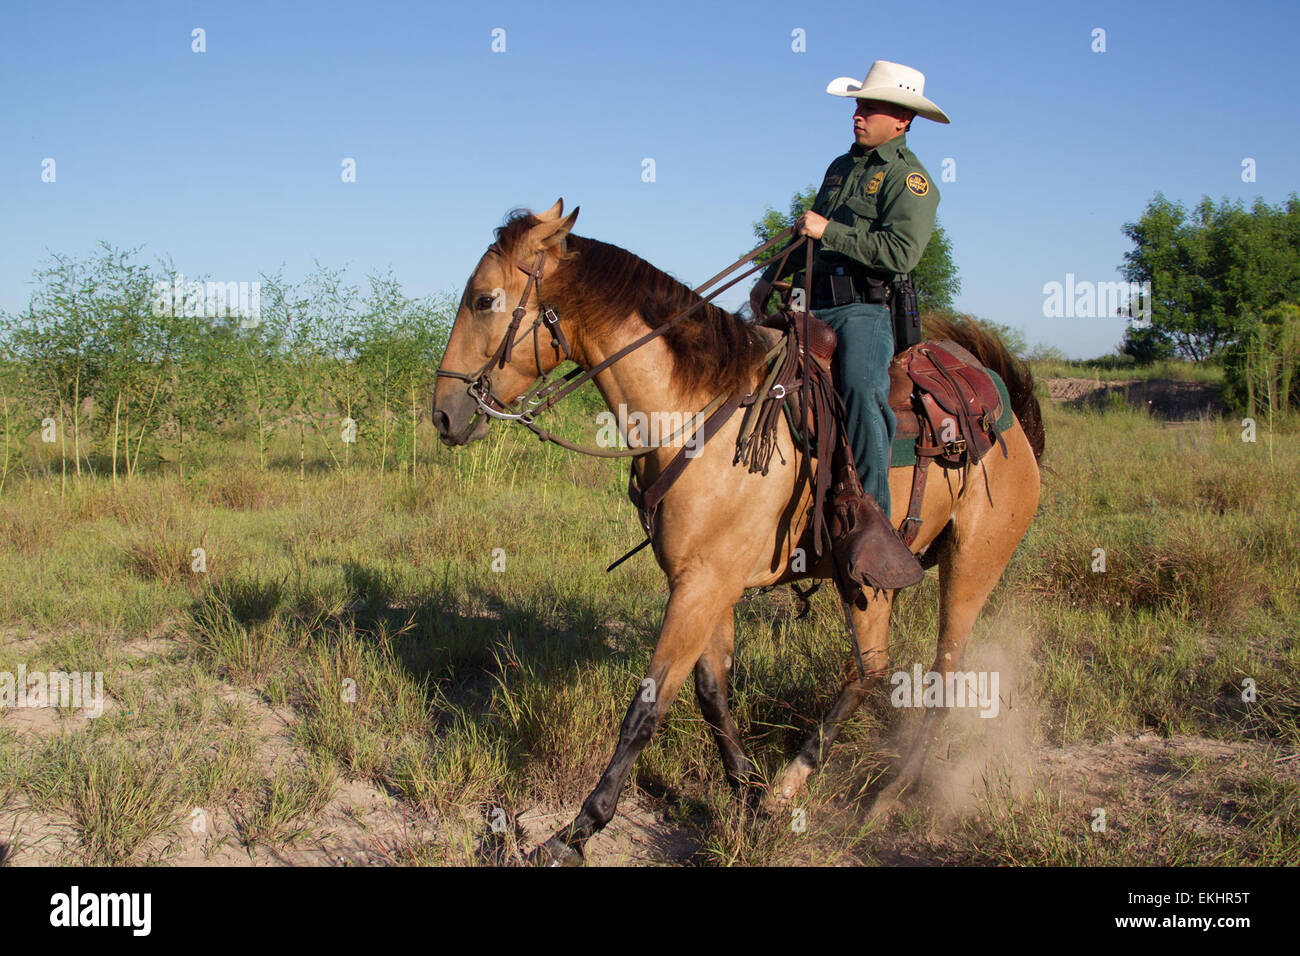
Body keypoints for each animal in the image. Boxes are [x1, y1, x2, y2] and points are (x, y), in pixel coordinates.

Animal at [432, 200, 1045, 865]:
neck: (695, 412)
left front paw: (574, 832)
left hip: (971, 564)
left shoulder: (704, 584)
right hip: (869, 583)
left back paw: (888, 796)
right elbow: (710, 692)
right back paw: (788, 787)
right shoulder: (704, 584)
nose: (444, 414)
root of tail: (1004, 406)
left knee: (942, 674)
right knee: (871, 670)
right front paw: (747, 790)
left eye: (485, 299)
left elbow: (646, 709)